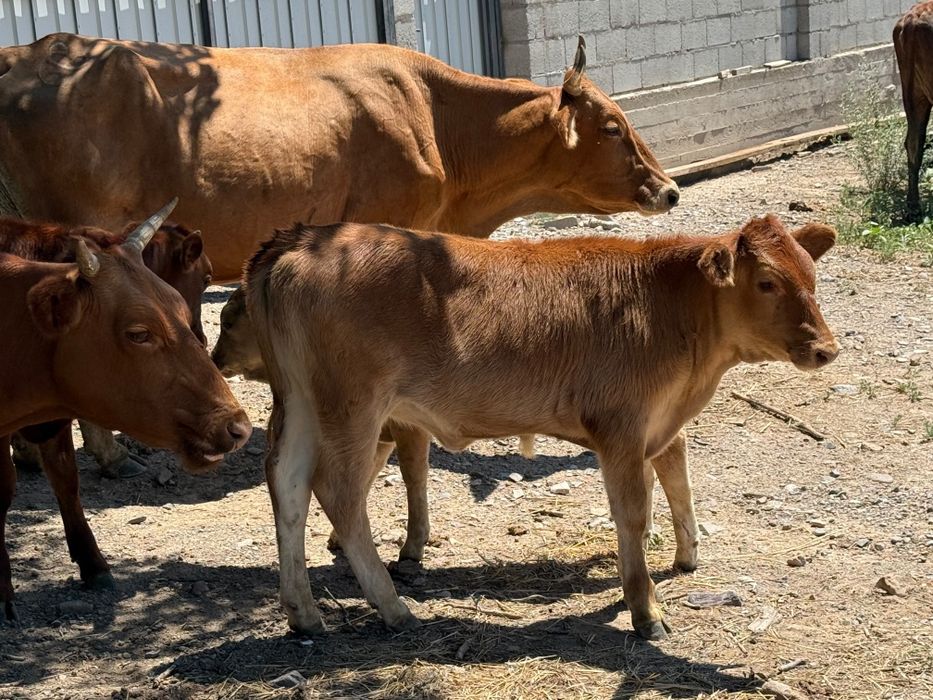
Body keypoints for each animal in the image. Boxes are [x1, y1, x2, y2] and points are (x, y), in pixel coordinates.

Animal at [244, 215, 839, 640]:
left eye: (811, 277)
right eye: (767, 282)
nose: (826, 349)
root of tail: (301, 238)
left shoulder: (657, 426)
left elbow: (671, 480)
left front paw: (679, 559)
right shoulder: (621, 429)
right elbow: (632, 511)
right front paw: (645, 611)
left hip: (301, 402)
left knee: (288, 483)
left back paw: (304, 612)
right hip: (351, 405)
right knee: (339, 493)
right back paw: (393, 607)